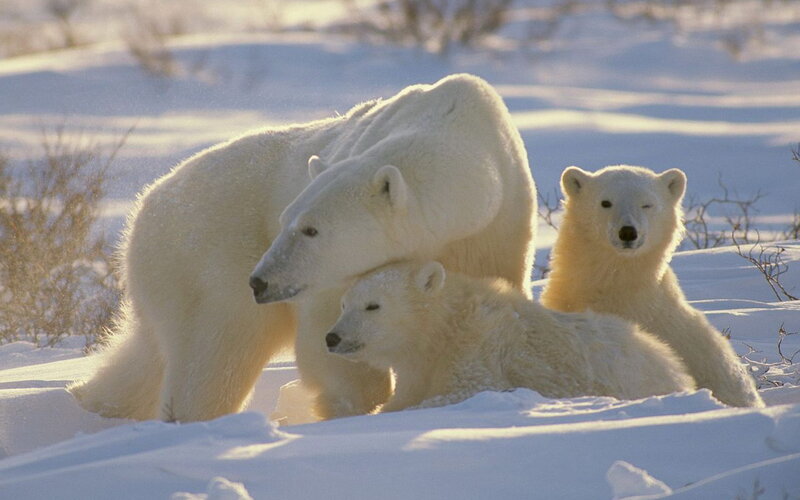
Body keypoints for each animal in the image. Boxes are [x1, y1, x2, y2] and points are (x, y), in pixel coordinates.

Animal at [68, 73, 537, 422]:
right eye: (286, 220)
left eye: (310, 229)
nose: (260, 281)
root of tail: (144, 206)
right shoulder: (330, 278)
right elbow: (328, 334)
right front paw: (353, 404)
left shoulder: (498, 229)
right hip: (205, 256)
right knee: (218, 351)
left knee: (146, 354)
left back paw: (91, 400)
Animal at [325, 260, 696, 412]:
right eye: (344, 304)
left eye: (373, 305)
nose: (332, 337)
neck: (446, 327)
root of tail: (675, 366)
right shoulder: (418, 366)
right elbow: (405, 394)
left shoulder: (480, 346)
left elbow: (468, 389)